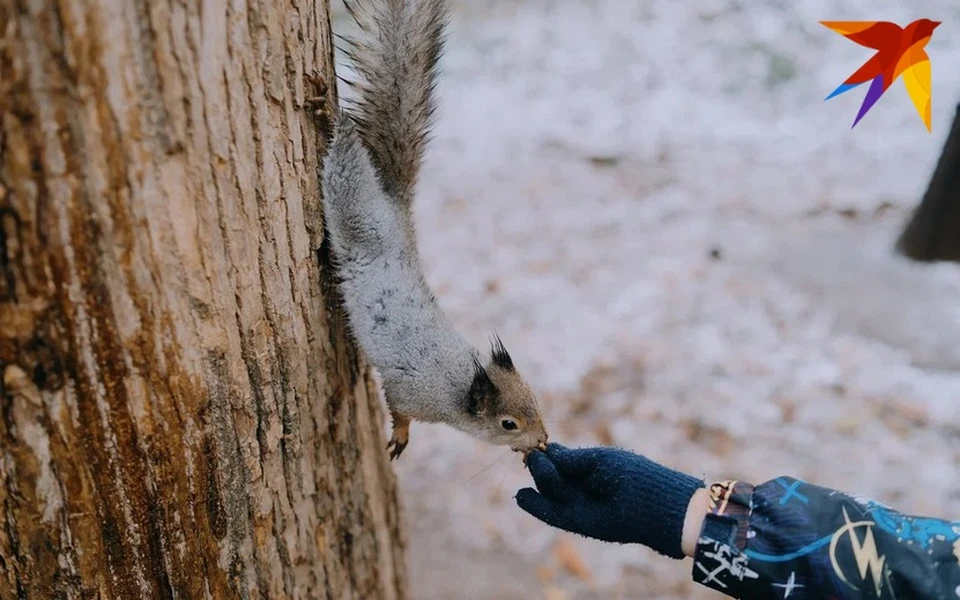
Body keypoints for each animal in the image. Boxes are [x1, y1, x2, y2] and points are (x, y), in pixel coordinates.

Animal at [308, 0, 548, 460]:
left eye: (537, 402)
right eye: (508, 424)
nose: (543, 441)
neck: (459, 383)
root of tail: (394, 206)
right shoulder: (410, 391)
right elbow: (399, 410)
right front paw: (401, 436)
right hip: (354, 205)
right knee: (345, 156)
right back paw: (332, 116)